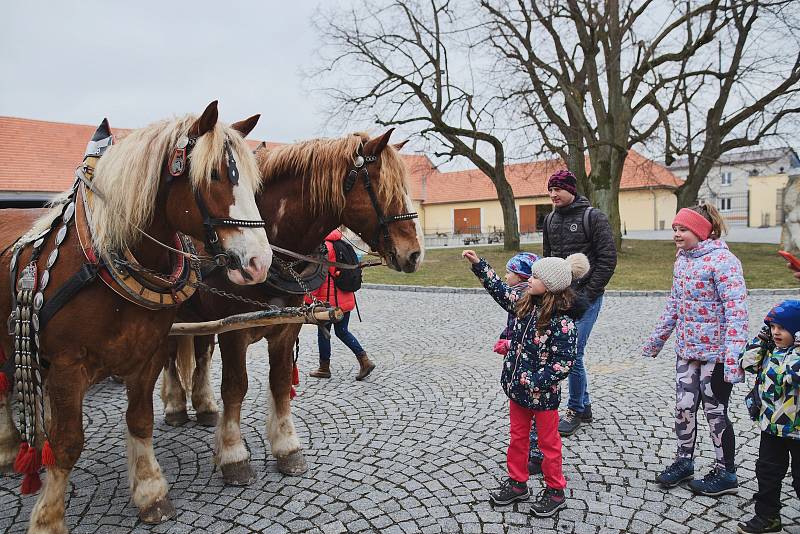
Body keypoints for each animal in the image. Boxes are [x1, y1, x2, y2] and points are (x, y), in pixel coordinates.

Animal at [0, 101, 272, 534]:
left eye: (252, 180)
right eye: (214, 174)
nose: (259, 262)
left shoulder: (148, 354)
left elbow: (141, 420)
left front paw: (150, 491)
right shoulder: (67, 366)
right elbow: (68, 442)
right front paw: (47, 518)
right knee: (6, 387)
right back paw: (11, 449)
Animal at [159, 129, 428, 486]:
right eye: (383, 187)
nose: (415, 253)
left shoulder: (286, 328)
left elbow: (281, 381)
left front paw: (287, 447)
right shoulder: (234, 330)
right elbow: (235, 387)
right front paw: (233, 455)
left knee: (201, 355)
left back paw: (204, 407)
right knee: (170, 357)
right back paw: (176, 406)